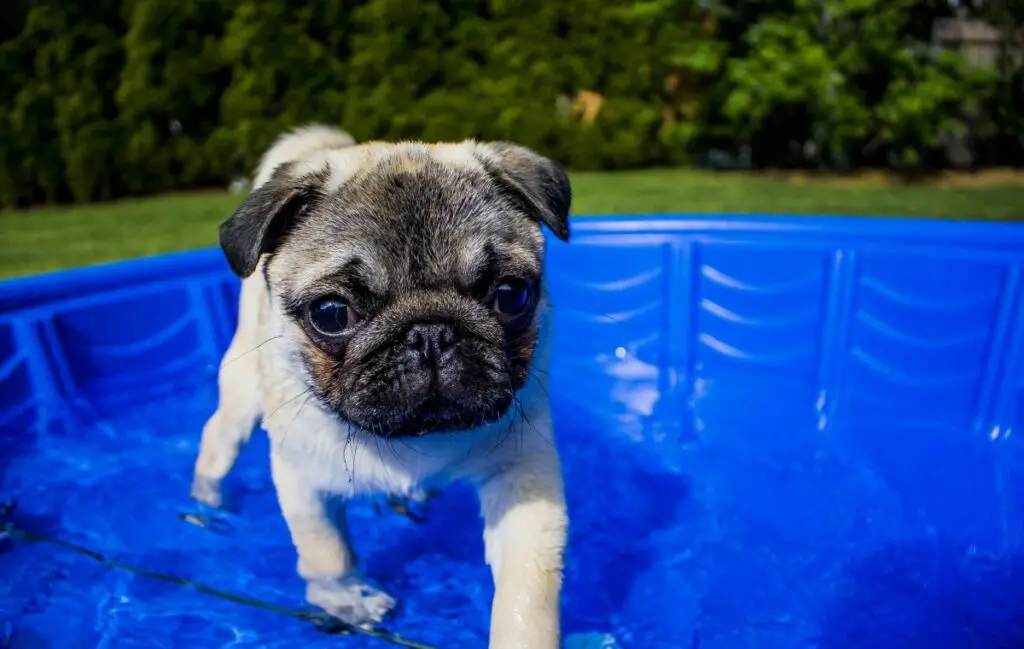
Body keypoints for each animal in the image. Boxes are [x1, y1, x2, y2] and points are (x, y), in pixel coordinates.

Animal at [191, 122, 573, 646]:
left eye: (511, 295)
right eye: (331, 314)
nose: (430, 333)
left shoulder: (523, 476)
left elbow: (527, 589)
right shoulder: (302, 479)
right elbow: (327, 552)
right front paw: (346, 598)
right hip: (242, 397)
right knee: (218, 440)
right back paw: (205, 500)